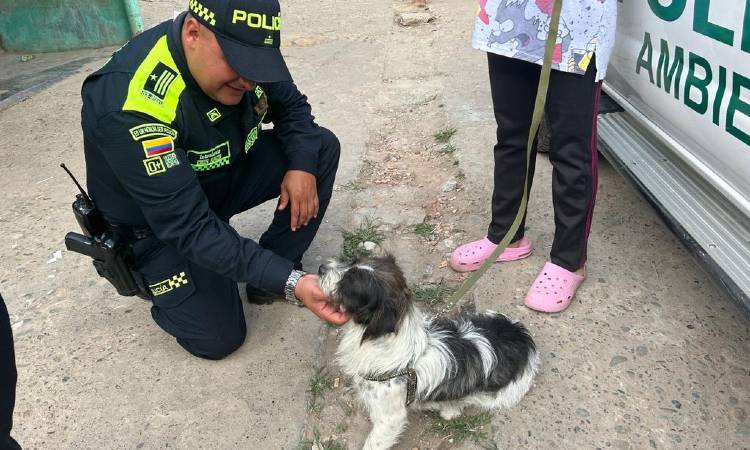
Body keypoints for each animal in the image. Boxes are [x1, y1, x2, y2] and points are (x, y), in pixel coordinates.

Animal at [318, 255, 540, 448]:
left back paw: (449, 409)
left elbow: (374, 443)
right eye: (352, 261)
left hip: (503, 393)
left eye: (349, 283)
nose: (321, 267)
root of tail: (523, 337)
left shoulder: (389, 419)